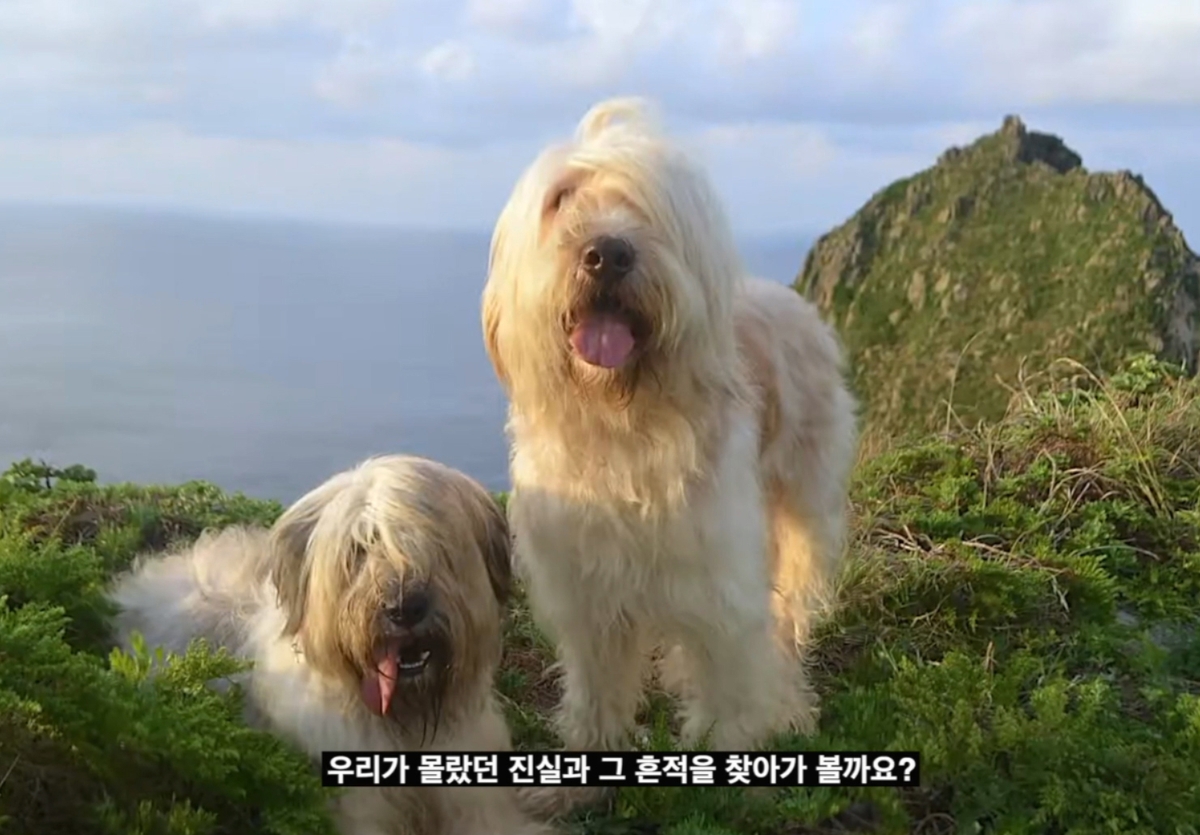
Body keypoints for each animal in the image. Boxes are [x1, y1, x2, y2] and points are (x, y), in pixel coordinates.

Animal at [482, 95, 859, 763]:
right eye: (561, 199)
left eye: (649, 202)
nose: (607, 253)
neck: (621, 421)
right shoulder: (585, 580)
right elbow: (599, 669)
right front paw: (597, 735)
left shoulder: (718, 571)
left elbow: (731, 662)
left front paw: (730, 735)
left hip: (803, 504)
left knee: (788, 612)